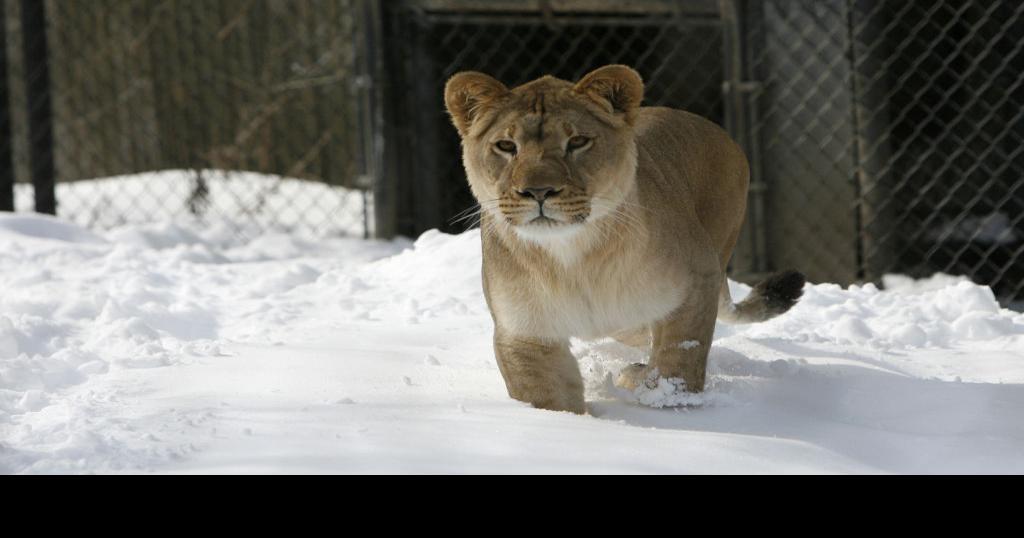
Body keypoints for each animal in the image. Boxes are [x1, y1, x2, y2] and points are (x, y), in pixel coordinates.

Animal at [444, 65, 805, 414]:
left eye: (577, 142)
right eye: (506, 146)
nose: (538, 191)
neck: (571, 259)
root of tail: (716, 129)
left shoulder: (697, 281)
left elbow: (680, 359)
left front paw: (664, 398)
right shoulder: (527, 331)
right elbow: (550, 400)